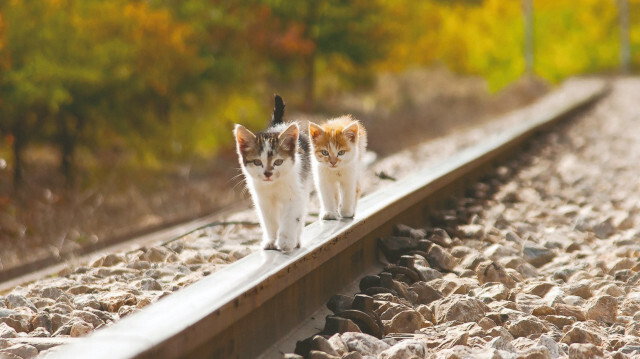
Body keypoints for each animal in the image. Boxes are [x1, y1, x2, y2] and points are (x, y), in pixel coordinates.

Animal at [234, 95, 312, 253]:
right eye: (257, 162)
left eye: (278, 162)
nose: (268, 173)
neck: (274, 185)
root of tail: (278, 125)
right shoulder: (262, 199)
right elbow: (269, 220)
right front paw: (272, 241)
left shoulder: (295, 193)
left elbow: (290, 217)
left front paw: (285, 241)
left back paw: (296, 240)